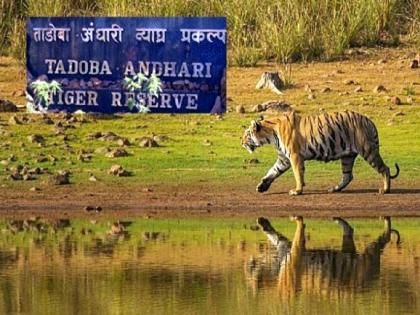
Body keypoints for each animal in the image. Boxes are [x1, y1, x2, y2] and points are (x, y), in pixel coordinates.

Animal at [241, 110, 398, 195]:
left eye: (247, 134)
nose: (241, 142)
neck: (270, 134)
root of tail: (369, 120)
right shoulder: (284, 159)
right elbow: (272, 171)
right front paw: (262, 186)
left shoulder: (294, 156)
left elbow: (298, 174)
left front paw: (297, 191)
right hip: (347, 156)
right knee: (348, 176)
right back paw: (334, 189)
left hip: (367, 150)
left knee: (385, 169)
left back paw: (385, 190)